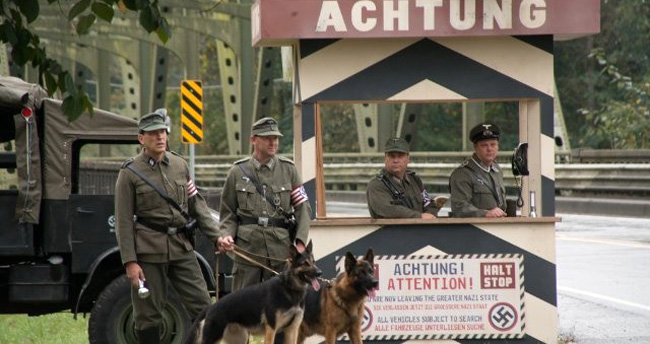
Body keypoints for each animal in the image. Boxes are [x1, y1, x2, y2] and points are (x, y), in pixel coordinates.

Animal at [184, 241, 320, 344]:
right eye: (305, 263)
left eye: (313, 262)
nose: (320, 273)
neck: (289, 288)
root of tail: (211, 306)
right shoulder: (271, 329)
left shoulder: (292, 331)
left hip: (240, 339)